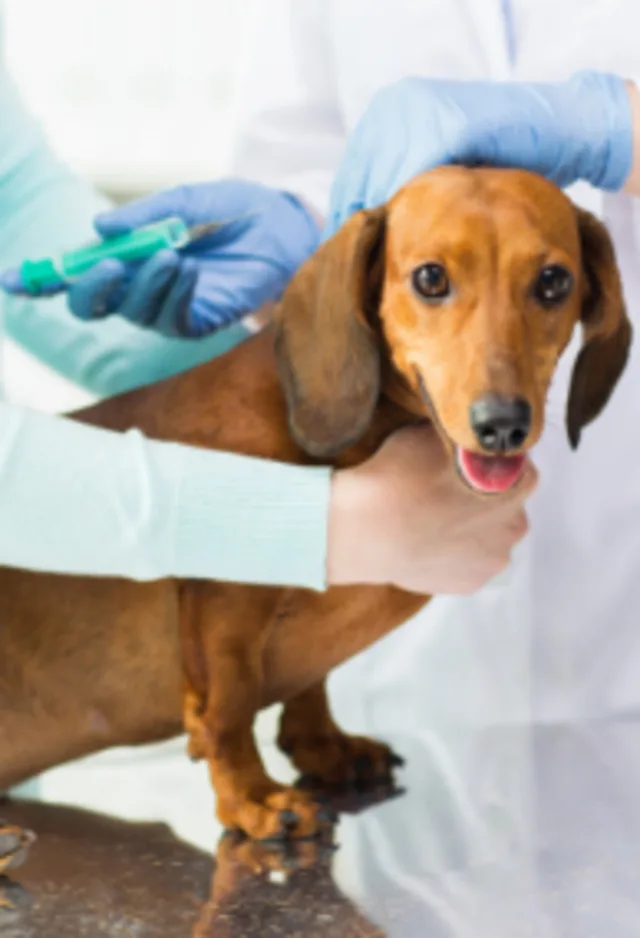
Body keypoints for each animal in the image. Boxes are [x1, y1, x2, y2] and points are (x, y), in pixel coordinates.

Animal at [0, 166, 632, 840]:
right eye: (430, 278)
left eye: (554, 281)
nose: (502, 425)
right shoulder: (224, 608)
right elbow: (228, 707)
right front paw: (252, 797)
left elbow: (309, 683)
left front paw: (322, 746)